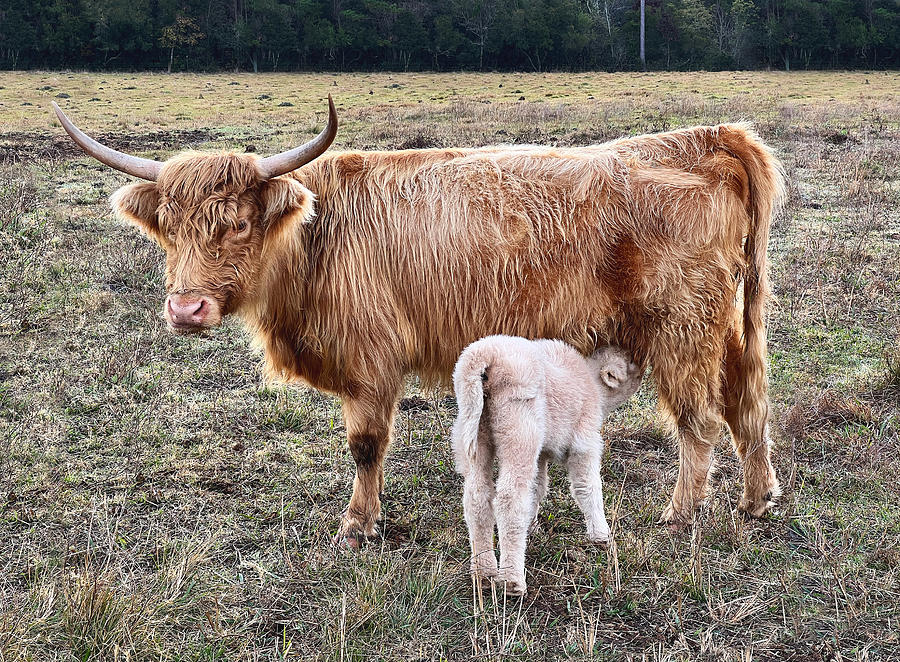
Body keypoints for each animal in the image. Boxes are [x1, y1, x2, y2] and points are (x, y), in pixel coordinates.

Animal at [52, 97, 784, 544]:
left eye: (236, 225)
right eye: (170, 230)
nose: (186, 309)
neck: (315, 237)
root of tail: (709, 136)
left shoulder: (373, 360)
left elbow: (365, 444)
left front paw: (359, 525)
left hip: (682, 330)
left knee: (699, 421)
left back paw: (680, 515)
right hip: (731, 328)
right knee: (747, 406)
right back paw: (755, 501)